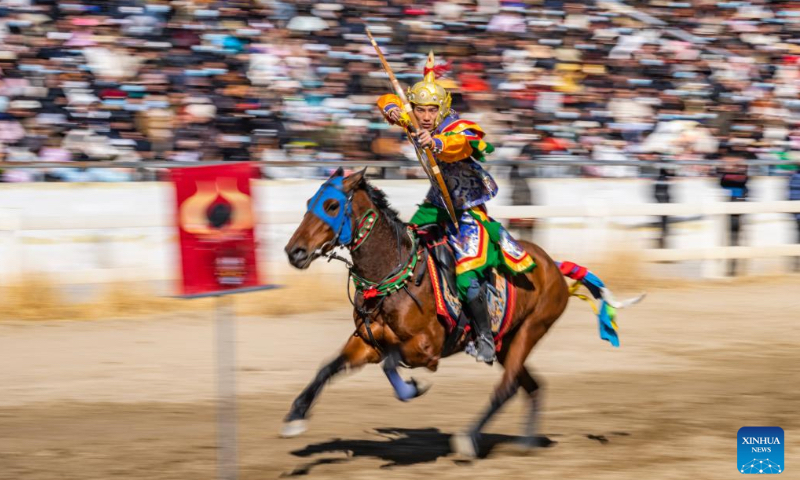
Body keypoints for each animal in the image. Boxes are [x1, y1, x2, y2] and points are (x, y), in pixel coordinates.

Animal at [282, 168, 641, 457]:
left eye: (331, 206)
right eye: (309, 202)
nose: (294, 252)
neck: (393, 277)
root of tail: (553, 264)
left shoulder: (426, 349)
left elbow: (390, 363)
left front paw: (411, 389)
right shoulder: (367, 343)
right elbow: (327, 368)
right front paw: (295, 418)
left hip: (531, 330)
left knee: (507, 387)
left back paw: (469, 439)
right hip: (507, 343)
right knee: (530, 386)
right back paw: (526, 442)